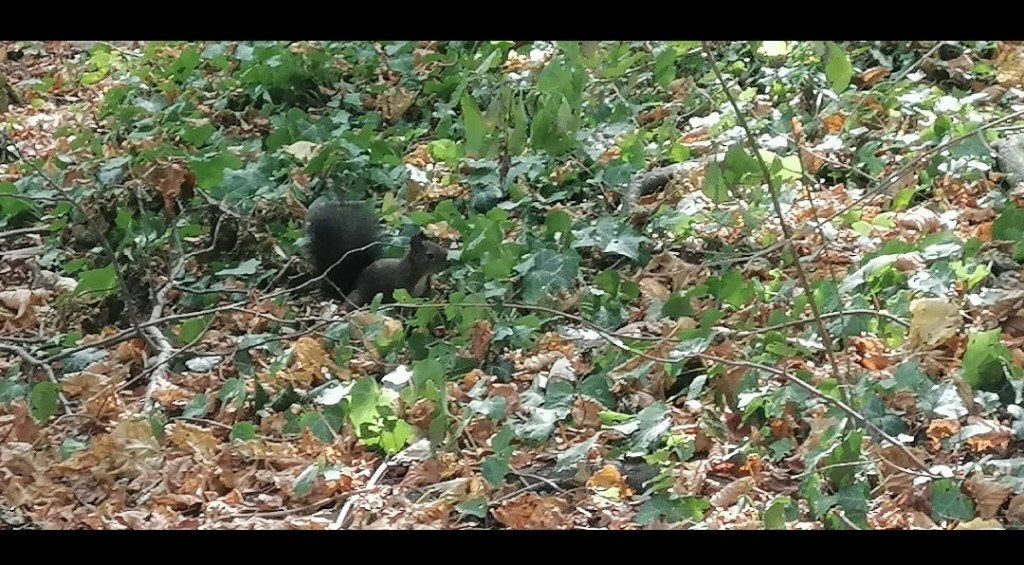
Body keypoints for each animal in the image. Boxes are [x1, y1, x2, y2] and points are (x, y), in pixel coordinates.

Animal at [305, 197, 448, 308]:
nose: (447, 258)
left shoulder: (424, 292)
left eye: (438, 246)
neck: (421, 275)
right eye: (430, 255)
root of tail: (352, 284)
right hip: (360, 295)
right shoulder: (400, 287)